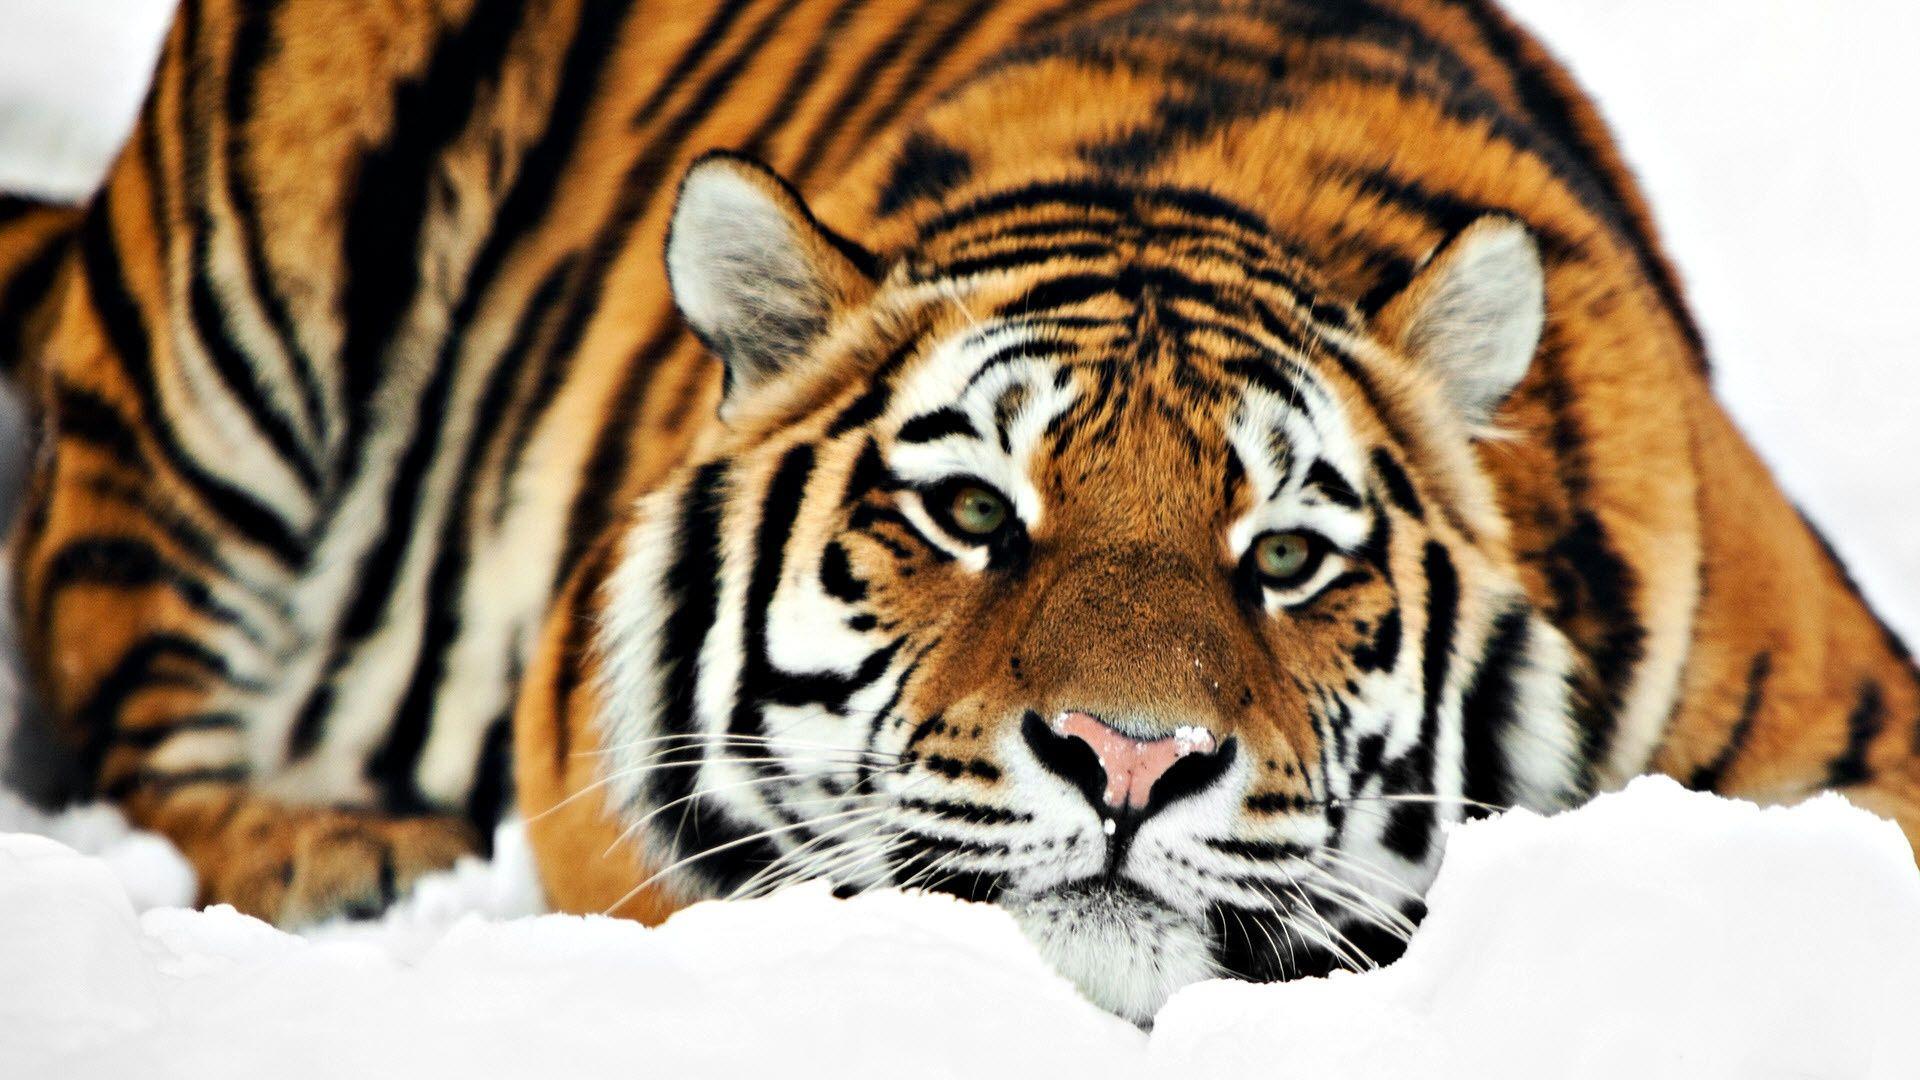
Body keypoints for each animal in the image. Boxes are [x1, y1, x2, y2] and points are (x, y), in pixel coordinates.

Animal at [3, 0, 1916, 1023]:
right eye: (974, 511)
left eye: (1289, 555)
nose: (1132, 759)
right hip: (230, 327)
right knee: (134, 701)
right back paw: (336, 852)